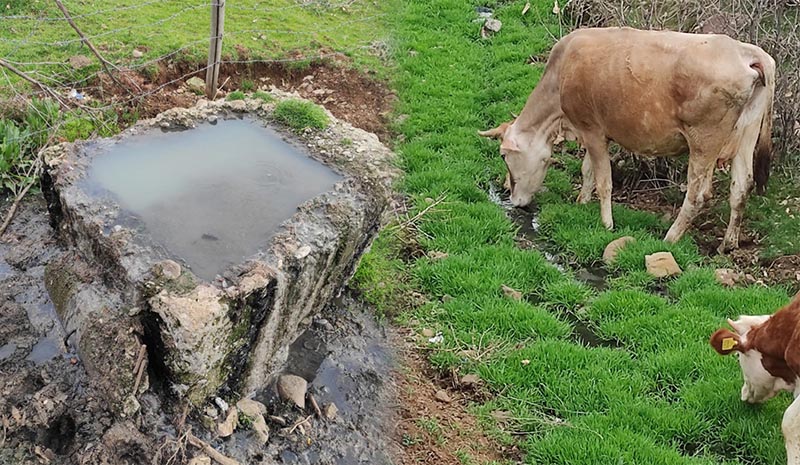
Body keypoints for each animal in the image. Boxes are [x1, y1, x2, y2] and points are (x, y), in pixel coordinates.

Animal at [482, 27, 776, 252]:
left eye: (504, 156)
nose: (513, 199)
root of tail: (746, 51)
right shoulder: (595, 131)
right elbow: (587, 170)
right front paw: (581, 202)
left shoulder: (591, 129)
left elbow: (604, 181)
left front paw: (606, 224)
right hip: (746, 135)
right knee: (741, 187)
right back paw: (728, 243)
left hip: (704, 141)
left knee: (697, 194)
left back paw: (670, 237)